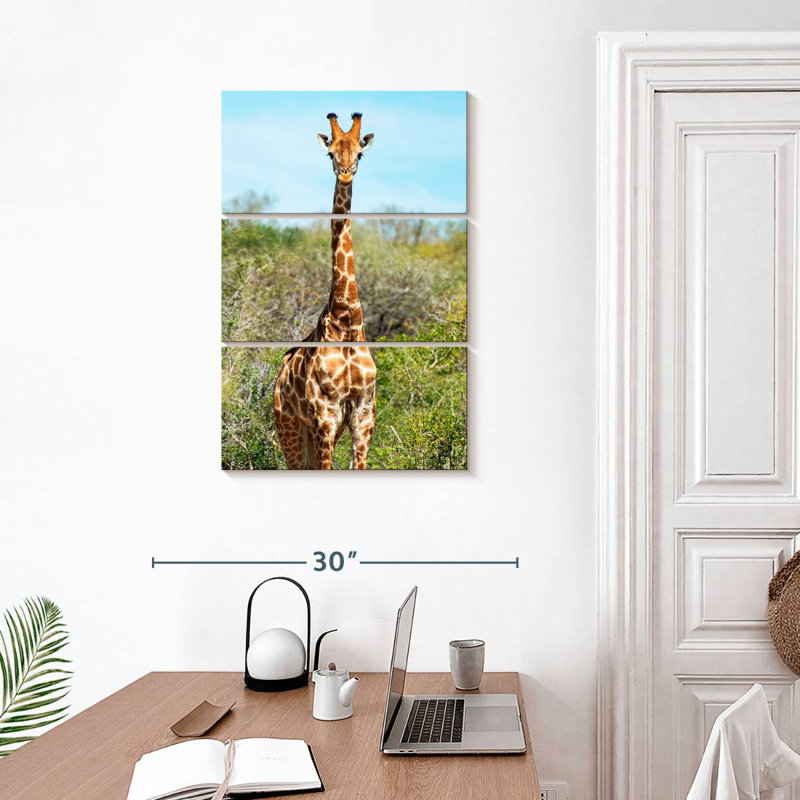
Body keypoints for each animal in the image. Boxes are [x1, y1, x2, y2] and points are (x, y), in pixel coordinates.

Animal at [273, 112, 377, 470]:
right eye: (331, 153)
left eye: (359, 153)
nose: (345, 174)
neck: (347, 319)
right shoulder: (325, 417)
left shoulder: (364, 416)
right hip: (290, 428)